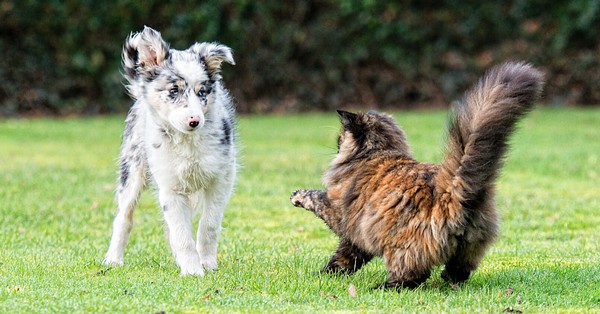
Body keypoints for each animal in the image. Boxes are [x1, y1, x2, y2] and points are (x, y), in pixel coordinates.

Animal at [102, 27, 236, 278]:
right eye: (174, 90)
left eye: (202, 92)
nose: (195, 121)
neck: (188, 143)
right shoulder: (170, 186)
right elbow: (181, 232)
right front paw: (192, 270)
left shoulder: (221, 178)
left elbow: (209, 224)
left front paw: (207, 263)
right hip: (132, 170)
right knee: (124, 217)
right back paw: (113, 259)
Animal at [290, 62, 544, 290]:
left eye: (340, 138)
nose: (336, 145)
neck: (377, 152)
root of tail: (451, 189)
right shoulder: (356, 235)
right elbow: (345, 258)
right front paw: (327, 274)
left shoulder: (341, 214)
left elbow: (317, 199)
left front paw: (297, 196)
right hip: (470, 246)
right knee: (460, 271)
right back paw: (447, 279)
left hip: (400, 247)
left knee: (412, 276)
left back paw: (383, 287)